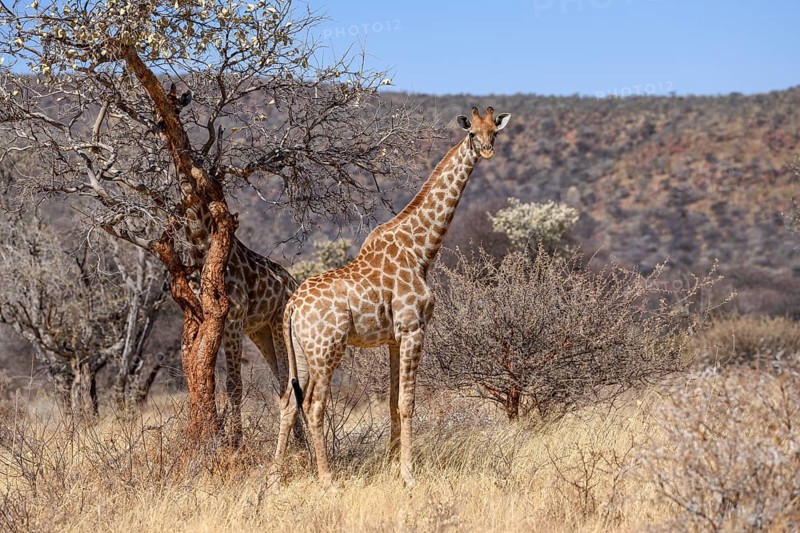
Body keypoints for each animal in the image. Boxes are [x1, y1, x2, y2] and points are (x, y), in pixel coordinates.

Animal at [270, 107, 511, 486]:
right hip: (327, 349)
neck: (421, 251)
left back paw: (273, 479)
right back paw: (327, 479)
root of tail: (292, 306)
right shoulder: (413, 328)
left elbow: (391, 403)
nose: (487, 150)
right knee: (313, 405)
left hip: (301, 353)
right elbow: (407, 403)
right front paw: (409, 475)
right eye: (472, 132)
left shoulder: (394, 338)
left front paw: (391, 467)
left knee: (287, 402)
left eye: (495, 131)